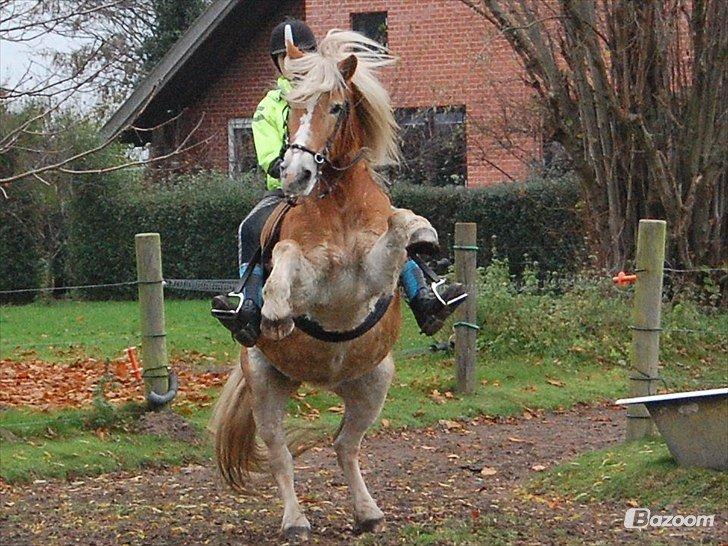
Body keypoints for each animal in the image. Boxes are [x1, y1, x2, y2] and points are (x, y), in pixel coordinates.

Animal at [210, 26, 438, 540]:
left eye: (336, 107)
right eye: (289, 106)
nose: (296, 174)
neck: (338, 205)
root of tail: (319, 382)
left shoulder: (372, 274)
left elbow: (400, 225)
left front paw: (424, 233)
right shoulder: (316, 283)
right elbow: (288, 259)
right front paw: (274, 310)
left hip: (372, 383)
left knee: (344, 445)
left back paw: (368, 513)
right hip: (267, 385)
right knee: (280, 455)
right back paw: (295, 522)